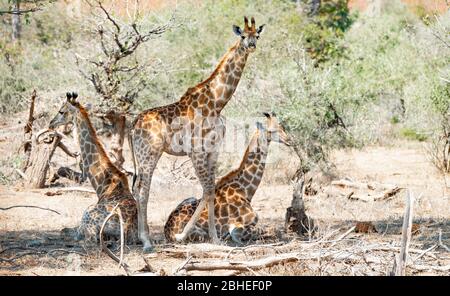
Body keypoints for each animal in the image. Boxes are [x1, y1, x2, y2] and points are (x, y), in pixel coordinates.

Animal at [49, 92, 137, 245]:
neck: (103, 185)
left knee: (85, 240)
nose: (51, 123)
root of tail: (127, 228)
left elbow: (64, 230)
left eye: (61, 111)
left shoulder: (82, 226)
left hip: (88, 215)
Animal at [129, 16, 264, 251]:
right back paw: (146, 241)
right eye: (242, 36)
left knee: (139, 189)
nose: (252, 45)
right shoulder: (197, 151)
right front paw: (182, 235)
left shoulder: (213, 151)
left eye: (257, 34)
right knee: (142, 190)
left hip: (144, 155)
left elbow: (209, 190)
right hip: (149, 154)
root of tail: (134, 124)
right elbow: (208, 189)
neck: (218, 102)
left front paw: (215, 238)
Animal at [163, 112, 290, 244]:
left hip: (189, 199)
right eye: (272, 130)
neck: (245, 191)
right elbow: (272, 230)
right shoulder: (241, 224)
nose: (288, 140)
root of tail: (167, 232)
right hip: (199, 234)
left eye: (282, 127)